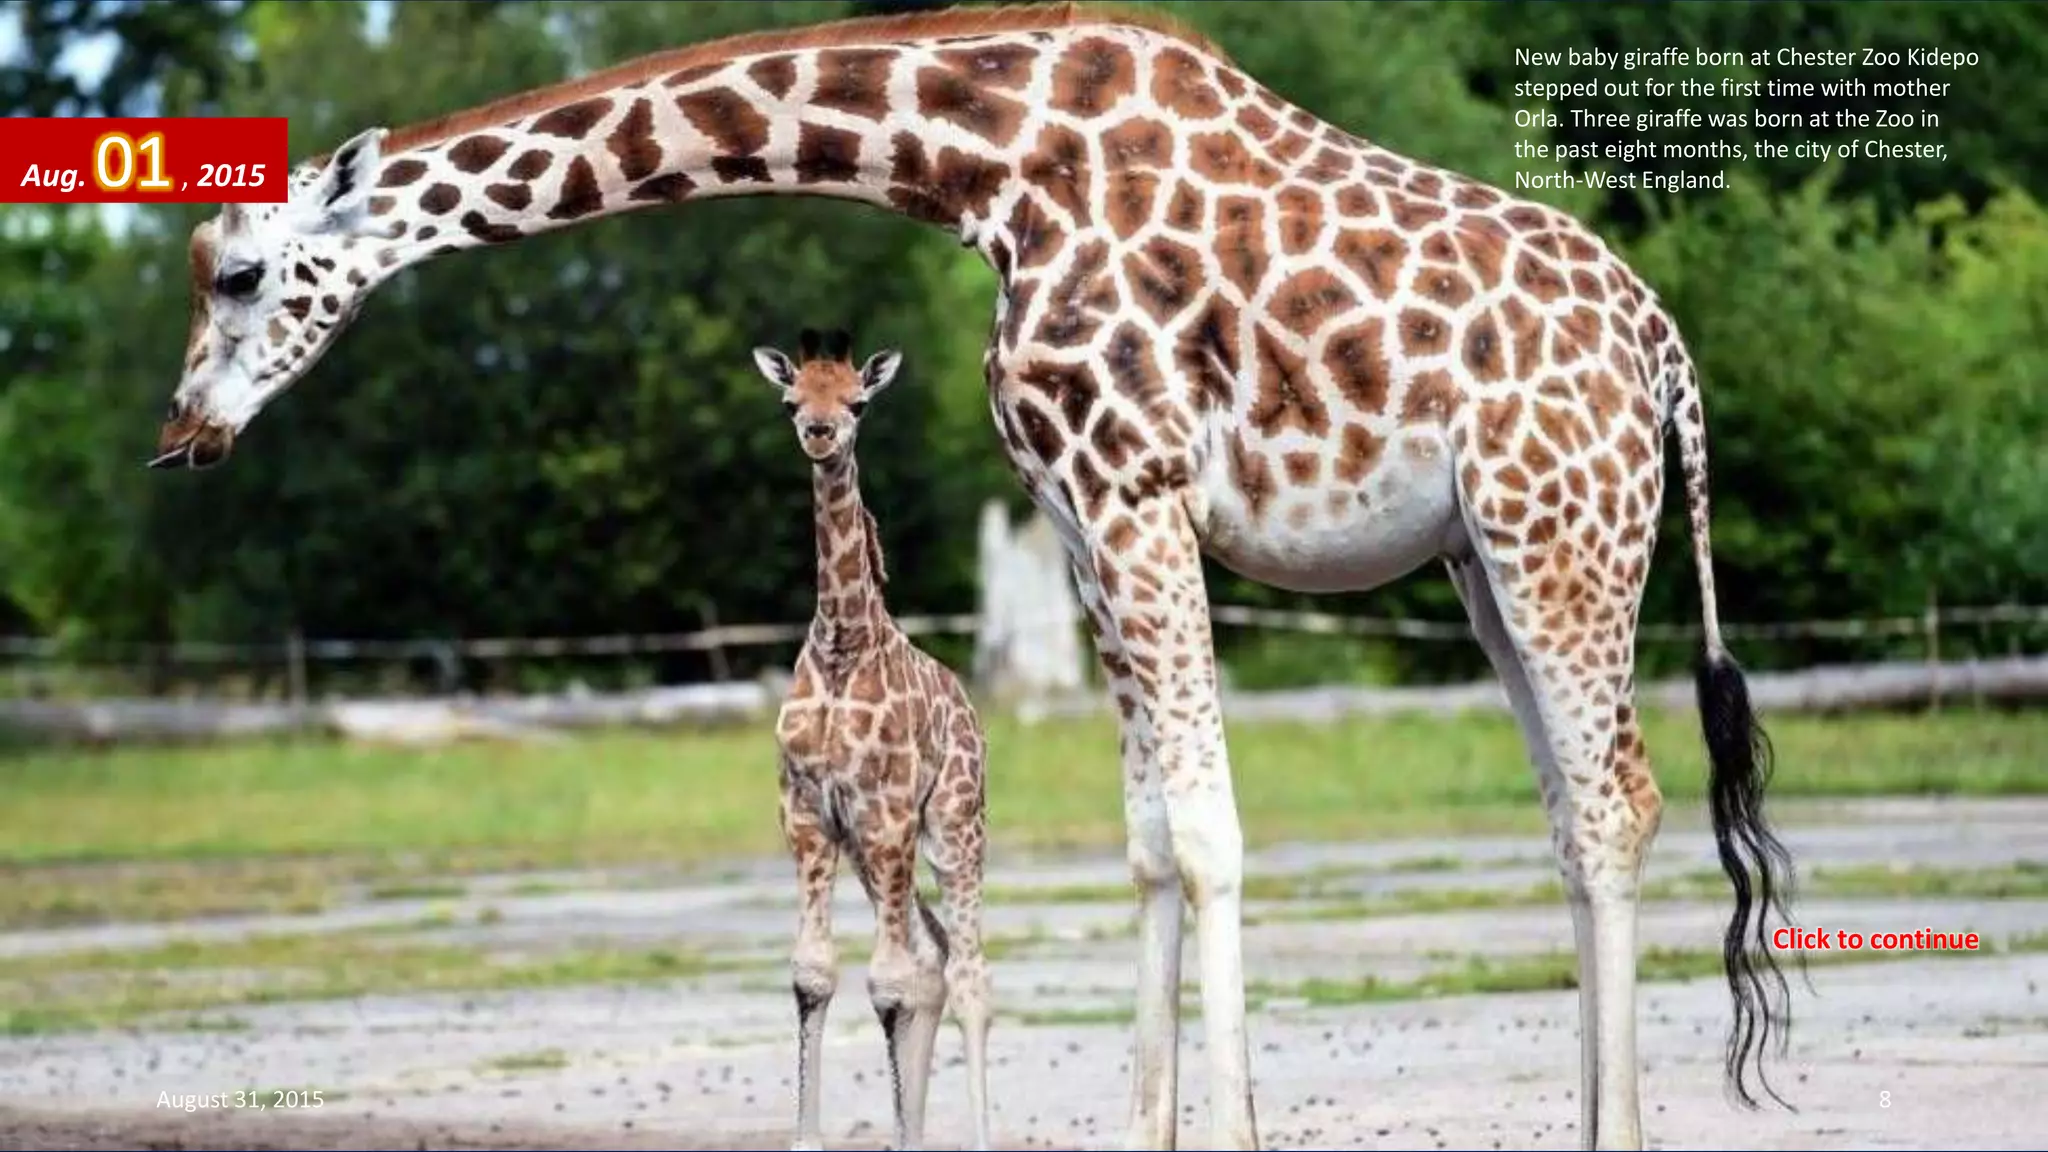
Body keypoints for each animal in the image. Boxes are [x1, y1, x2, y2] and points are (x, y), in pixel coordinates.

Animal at [753, 327, 993, 1152]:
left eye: (857, 401)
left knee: (968, 973)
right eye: (791, 399)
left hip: (951, 825)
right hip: (871, 848)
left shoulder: (887, 812)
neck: (843, 642)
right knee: (933, 957)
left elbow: (886, 981)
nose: (821, 434)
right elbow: (814, 972)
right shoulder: (808, 812)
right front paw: (808, 1138)